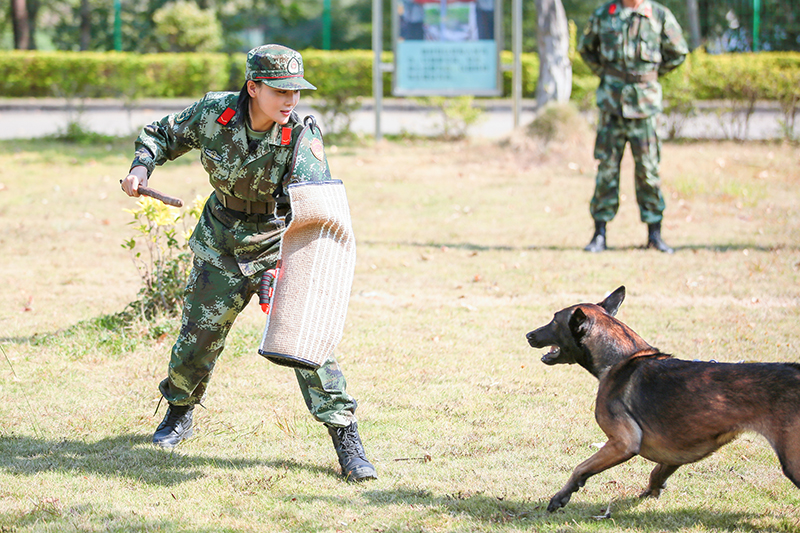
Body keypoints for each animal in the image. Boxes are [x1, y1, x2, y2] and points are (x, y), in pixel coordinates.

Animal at [524, 286, 800, 512]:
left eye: (554, 321)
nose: (529, 335)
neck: (621, 358)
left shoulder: (623, 443)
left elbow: (581, 467)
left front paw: (561, 497)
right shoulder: (674, 453)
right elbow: (657, 471)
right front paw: (651, 493)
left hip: (793, 461)